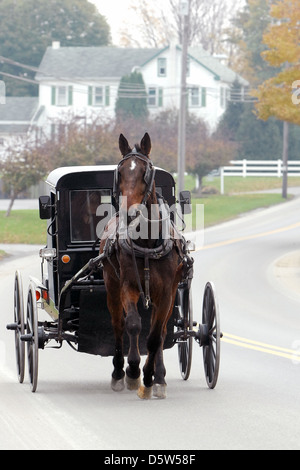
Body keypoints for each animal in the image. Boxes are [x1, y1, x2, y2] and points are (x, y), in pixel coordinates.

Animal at [101, 133, 184, 400]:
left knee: (163, 330)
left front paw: (150, 377)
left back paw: (160, 377)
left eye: (145, 172)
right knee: (118, 325)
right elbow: (134, 324)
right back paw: (119, 371)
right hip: (111, 285)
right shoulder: (128, 286)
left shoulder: (167, 293)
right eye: (119, 172)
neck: (147, 242)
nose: (130, 213)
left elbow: (156, 336)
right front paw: (133, 371)